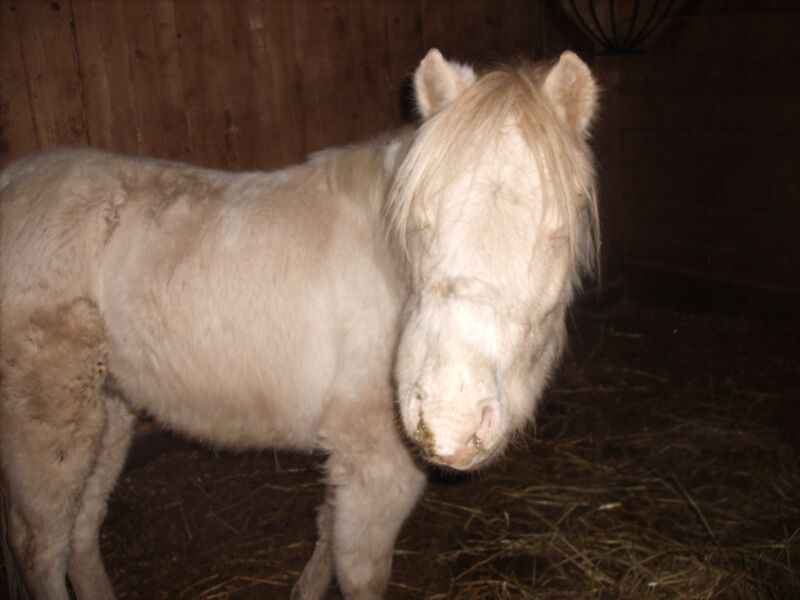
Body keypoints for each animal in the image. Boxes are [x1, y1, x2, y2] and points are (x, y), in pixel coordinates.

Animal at [0, 48, 599, 599]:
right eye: (421, 225)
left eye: (556, 236)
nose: (450, 421)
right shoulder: (377, 462)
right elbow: (358, 570)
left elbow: (327, 533)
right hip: (50, 425)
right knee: (41, 545)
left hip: (108, 409)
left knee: (81, 529)